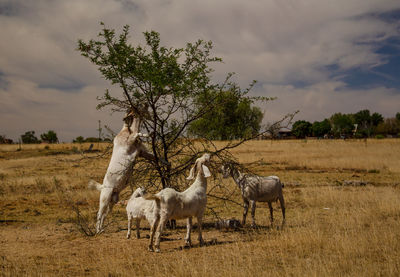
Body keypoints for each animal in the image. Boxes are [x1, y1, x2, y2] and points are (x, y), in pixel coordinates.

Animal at [88, 106, 157, 234]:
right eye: (140, 109)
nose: (146, 105)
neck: (124, 131)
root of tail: (103, 187)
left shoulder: (141, 152)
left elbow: (156, 157)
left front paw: (168, 163)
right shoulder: (131, 142)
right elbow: (137, 133)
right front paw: (150, 133)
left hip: (113, 201)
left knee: (105, 214)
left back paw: (102, 229)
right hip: (105, 198)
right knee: (99, 213)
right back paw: (98, 231)